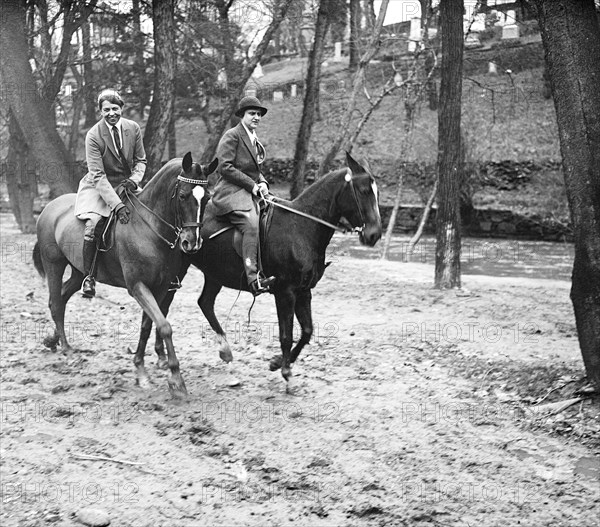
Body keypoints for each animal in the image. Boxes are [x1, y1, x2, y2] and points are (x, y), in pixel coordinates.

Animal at [32, 151, 216, 398]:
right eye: (183, 195)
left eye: (206, 198)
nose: (191, 243)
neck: (149, 227)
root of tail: (50, 206)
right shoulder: (137, 286)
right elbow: (164, 326)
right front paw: (176, 380)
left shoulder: (159, 287)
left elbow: (148, 325)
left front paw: (140, 368)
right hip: (54, 263)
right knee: (55, 303)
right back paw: (68, 350)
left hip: (79, 271)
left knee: (61, 297)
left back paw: (53, 341)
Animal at [143, 151, 382, 386]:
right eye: (363, 191)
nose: (374, 234)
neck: (300, 227)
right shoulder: (285, 292)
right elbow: (286, 334)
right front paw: (286, 371)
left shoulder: (304, 291)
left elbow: (307, 331)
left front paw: (278, 362)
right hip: (178, 271)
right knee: (165, 305)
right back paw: (163, 356)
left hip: (215, 274)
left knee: (204, 303)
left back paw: (223, 350)